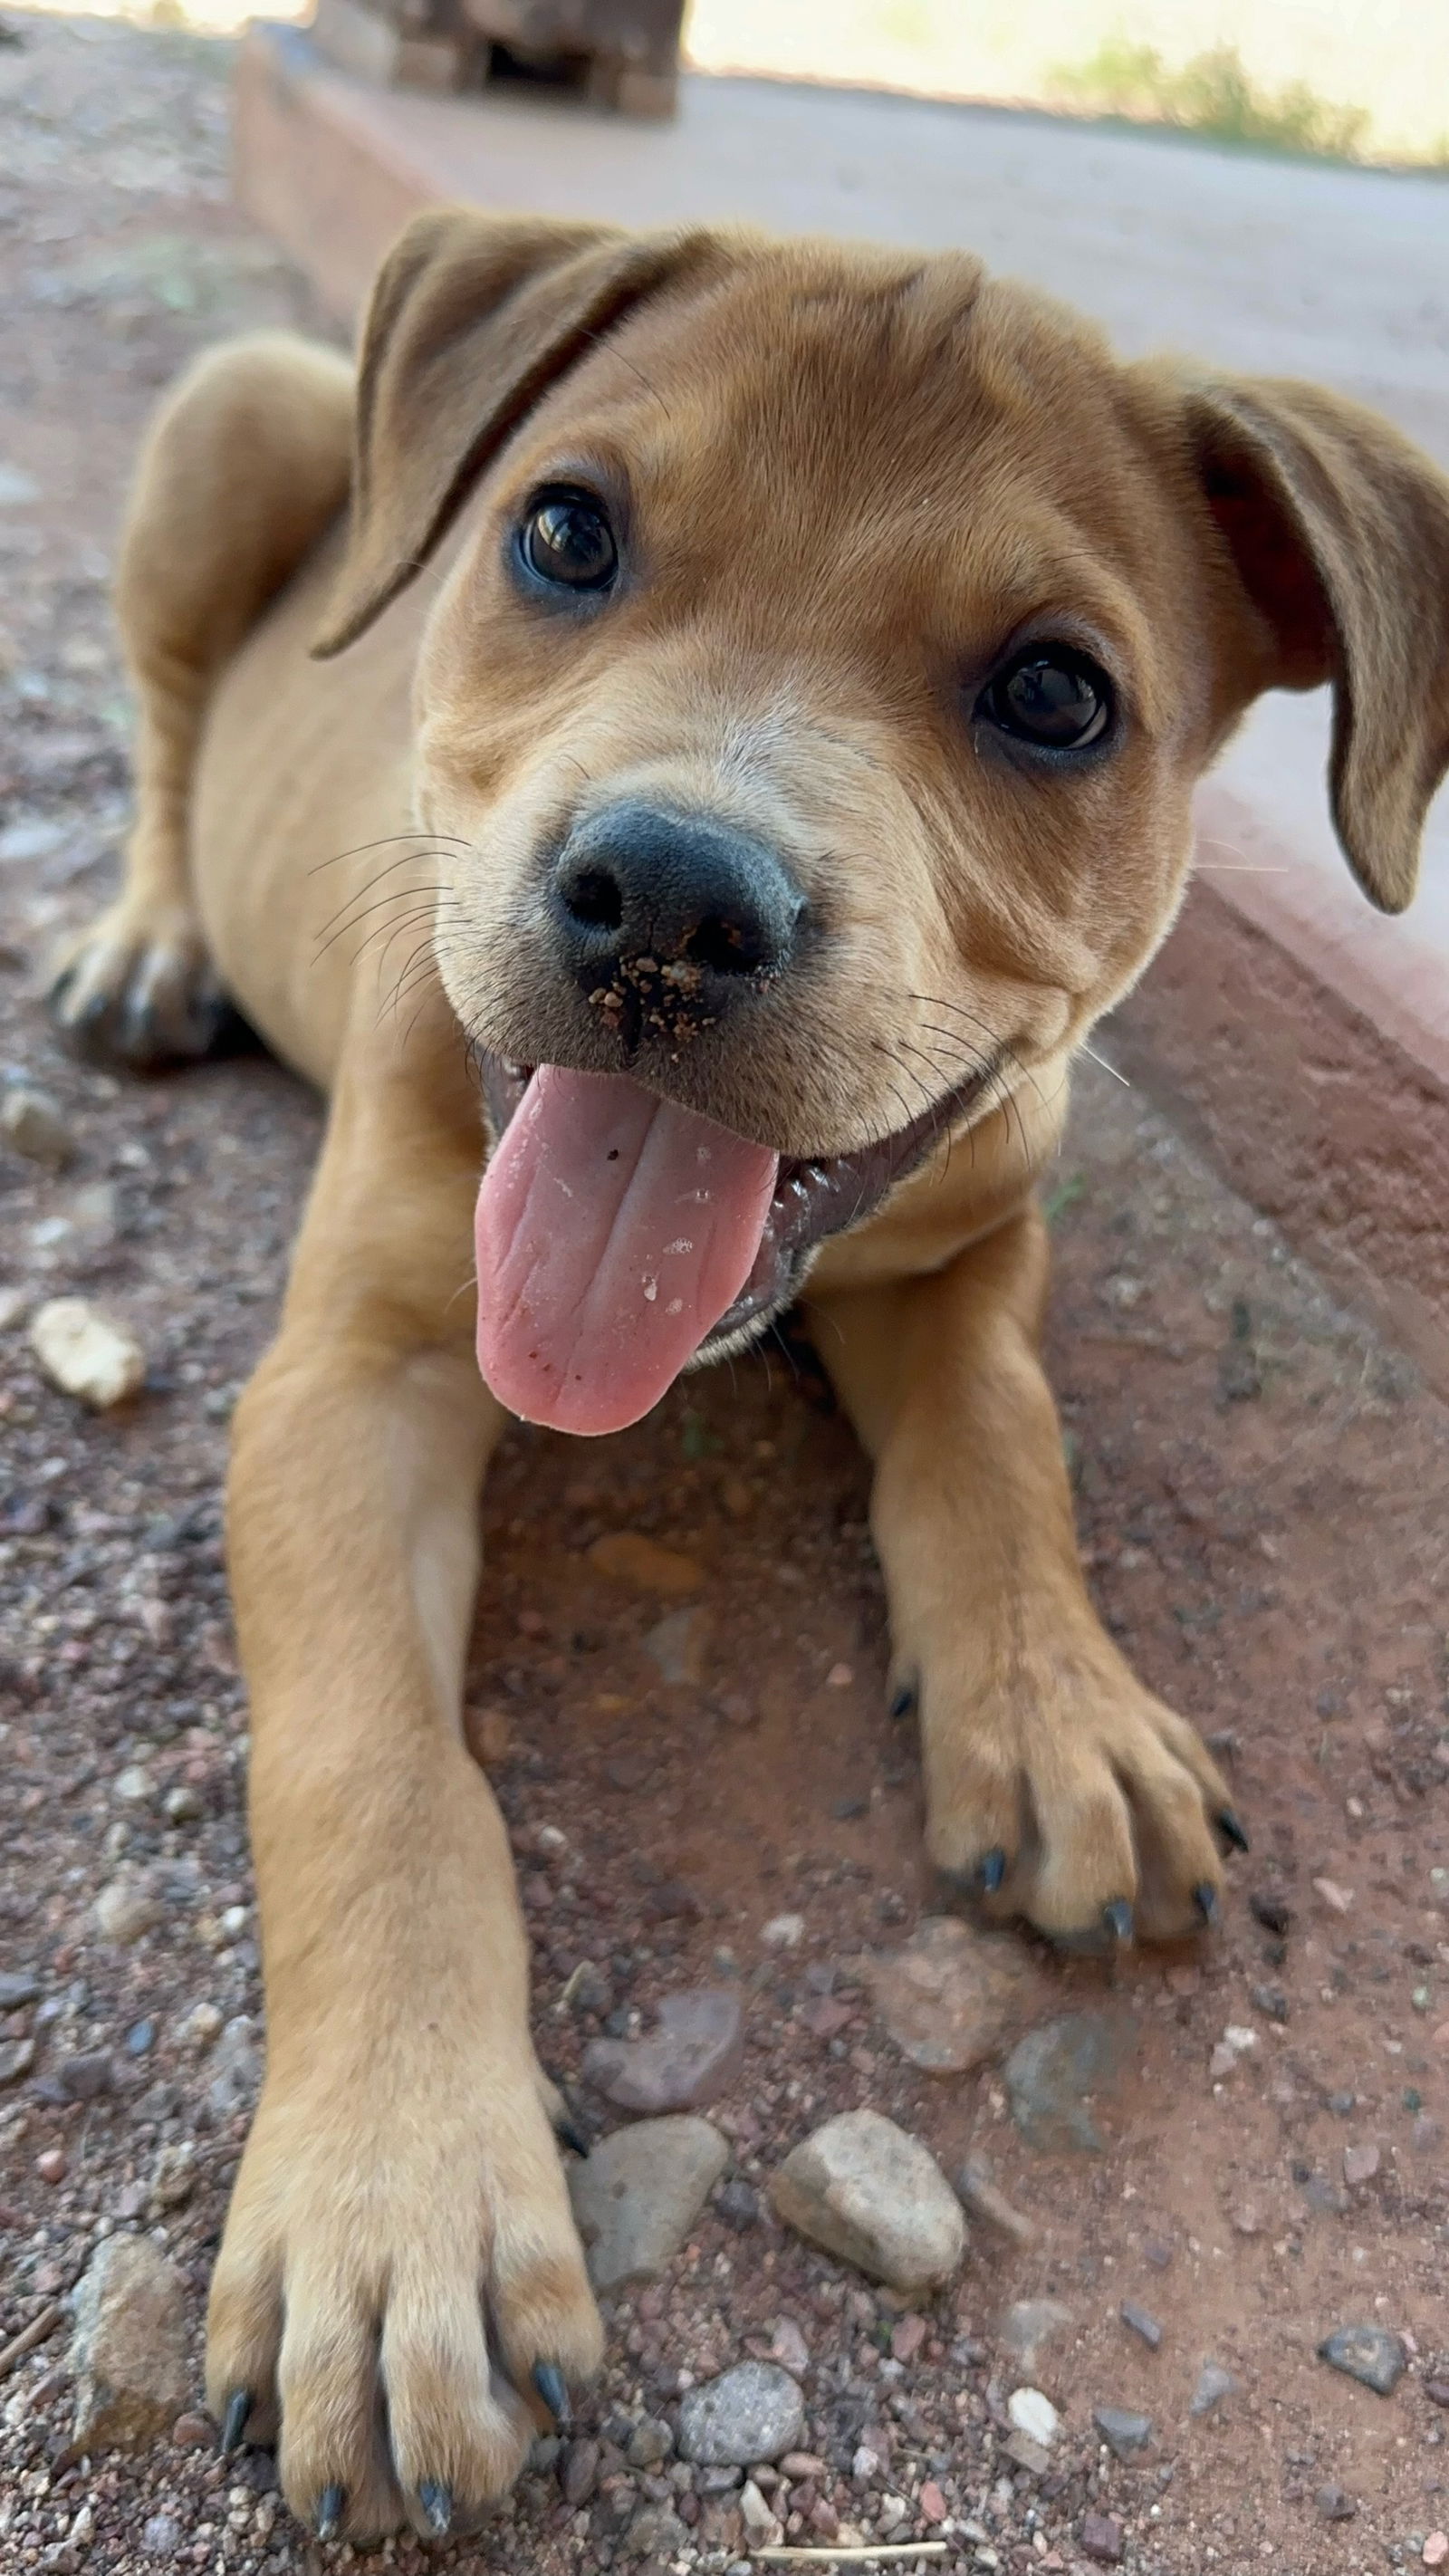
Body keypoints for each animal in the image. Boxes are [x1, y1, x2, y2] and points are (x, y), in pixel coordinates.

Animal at [51, 206, 1449, 2534]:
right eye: (563, 533)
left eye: (1053, 694)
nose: (662, 901)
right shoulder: (342, 1383)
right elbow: (375, 1765)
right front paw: (391, 2205)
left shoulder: (972, 1246)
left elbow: (1002, 1439)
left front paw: (1051, 1703)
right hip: (231, 423)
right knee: (160, 734)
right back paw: (147, 938)